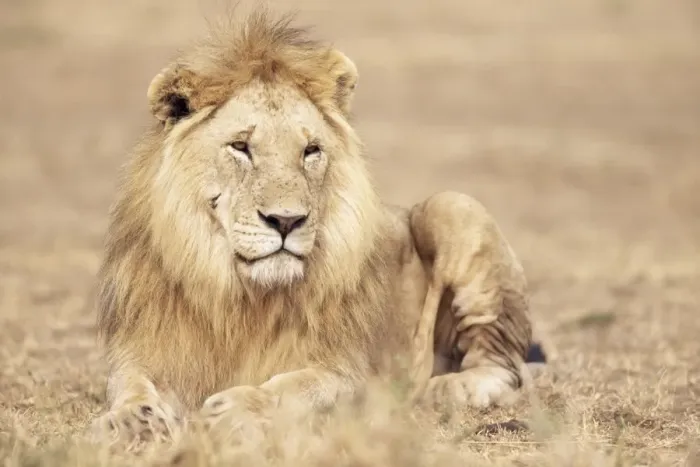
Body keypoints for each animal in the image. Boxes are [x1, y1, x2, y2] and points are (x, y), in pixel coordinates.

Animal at [89, 9, 547, 445]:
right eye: (240, 147)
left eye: (310, 150)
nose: (286, 220)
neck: (242, 299)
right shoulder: (146, 348)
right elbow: (129, 385)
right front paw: (132, 421)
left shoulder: (348, 371)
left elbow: (297, 388)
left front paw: (238, 408)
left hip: (455, 207)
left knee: (505, 367)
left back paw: (446, 388)